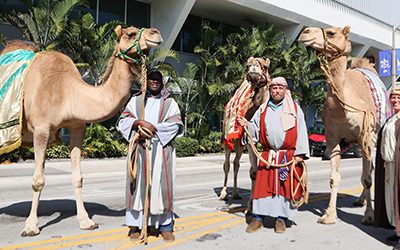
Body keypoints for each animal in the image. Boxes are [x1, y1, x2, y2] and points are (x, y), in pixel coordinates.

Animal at [0, 23, 162, 236]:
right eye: (130, 33)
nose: (156, 33)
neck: (67, 91)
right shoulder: (41, 129)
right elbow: (38, 180)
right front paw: (30, 226)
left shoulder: (77, 127)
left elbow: (78, 177)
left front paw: (86, 221)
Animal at [219, 56, 272, 201]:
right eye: (247, 66)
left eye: (265, 67)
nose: (254, 67)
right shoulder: (250, 140)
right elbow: (253, 171)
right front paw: (251, 204)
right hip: (227, 137)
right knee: (227, 163)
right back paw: (224, 193)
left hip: (239, 142)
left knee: (236, 163)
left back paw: (235, 193)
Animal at [298, 25, 386, 225]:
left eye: (331, 33)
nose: (305, 32)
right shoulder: (332, 138)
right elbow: (334, 178)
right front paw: (329, 215)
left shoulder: (365, 136)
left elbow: (367, 178)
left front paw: (369, 216)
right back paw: (359, 201)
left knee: (370, 171)